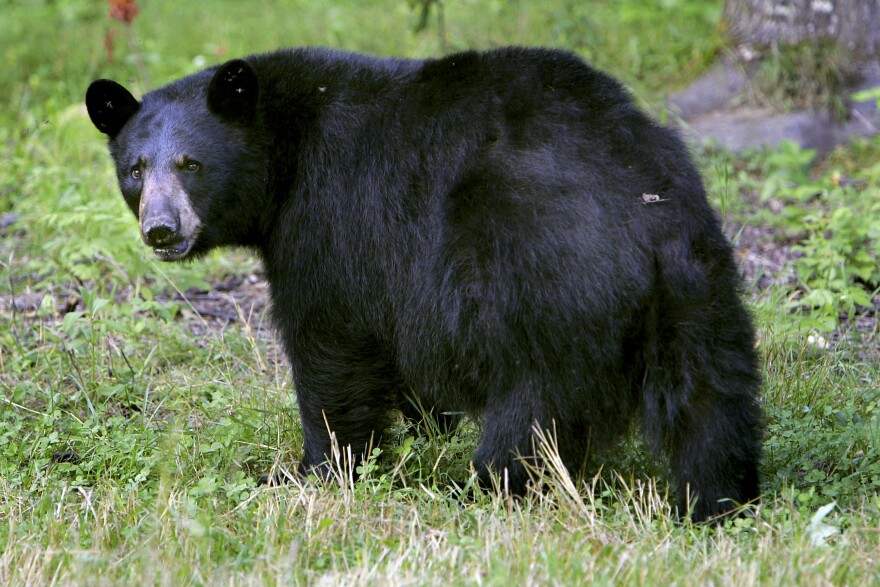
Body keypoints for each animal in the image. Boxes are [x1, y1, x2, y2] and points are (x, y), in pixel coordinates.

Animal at [87, 48, 764, 520]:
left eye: (191, 164)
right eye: (135, 169)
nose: (161, 229)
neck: (284, 154)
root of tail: (642, 213)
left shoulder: (330, 221)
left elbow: (330, 347)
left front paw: (314, 471)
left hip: (545, 285)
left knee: (534, 411)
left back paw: (485, 489)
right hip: (697, 288)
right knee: (711, 400)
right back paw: (717, 502)